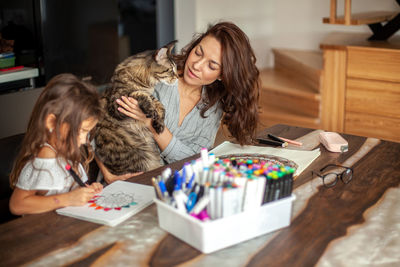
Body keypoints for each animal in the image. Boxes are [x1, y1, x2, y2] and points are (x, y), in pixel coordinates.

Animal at [95, 41, 177, 176]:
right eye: (171, 70)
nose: (178, 77)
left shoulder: (150, 94)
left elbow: (160, 106)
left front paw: (159, 123)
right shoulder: (117, 103)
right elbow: (138, 94)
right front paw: (150, 109)